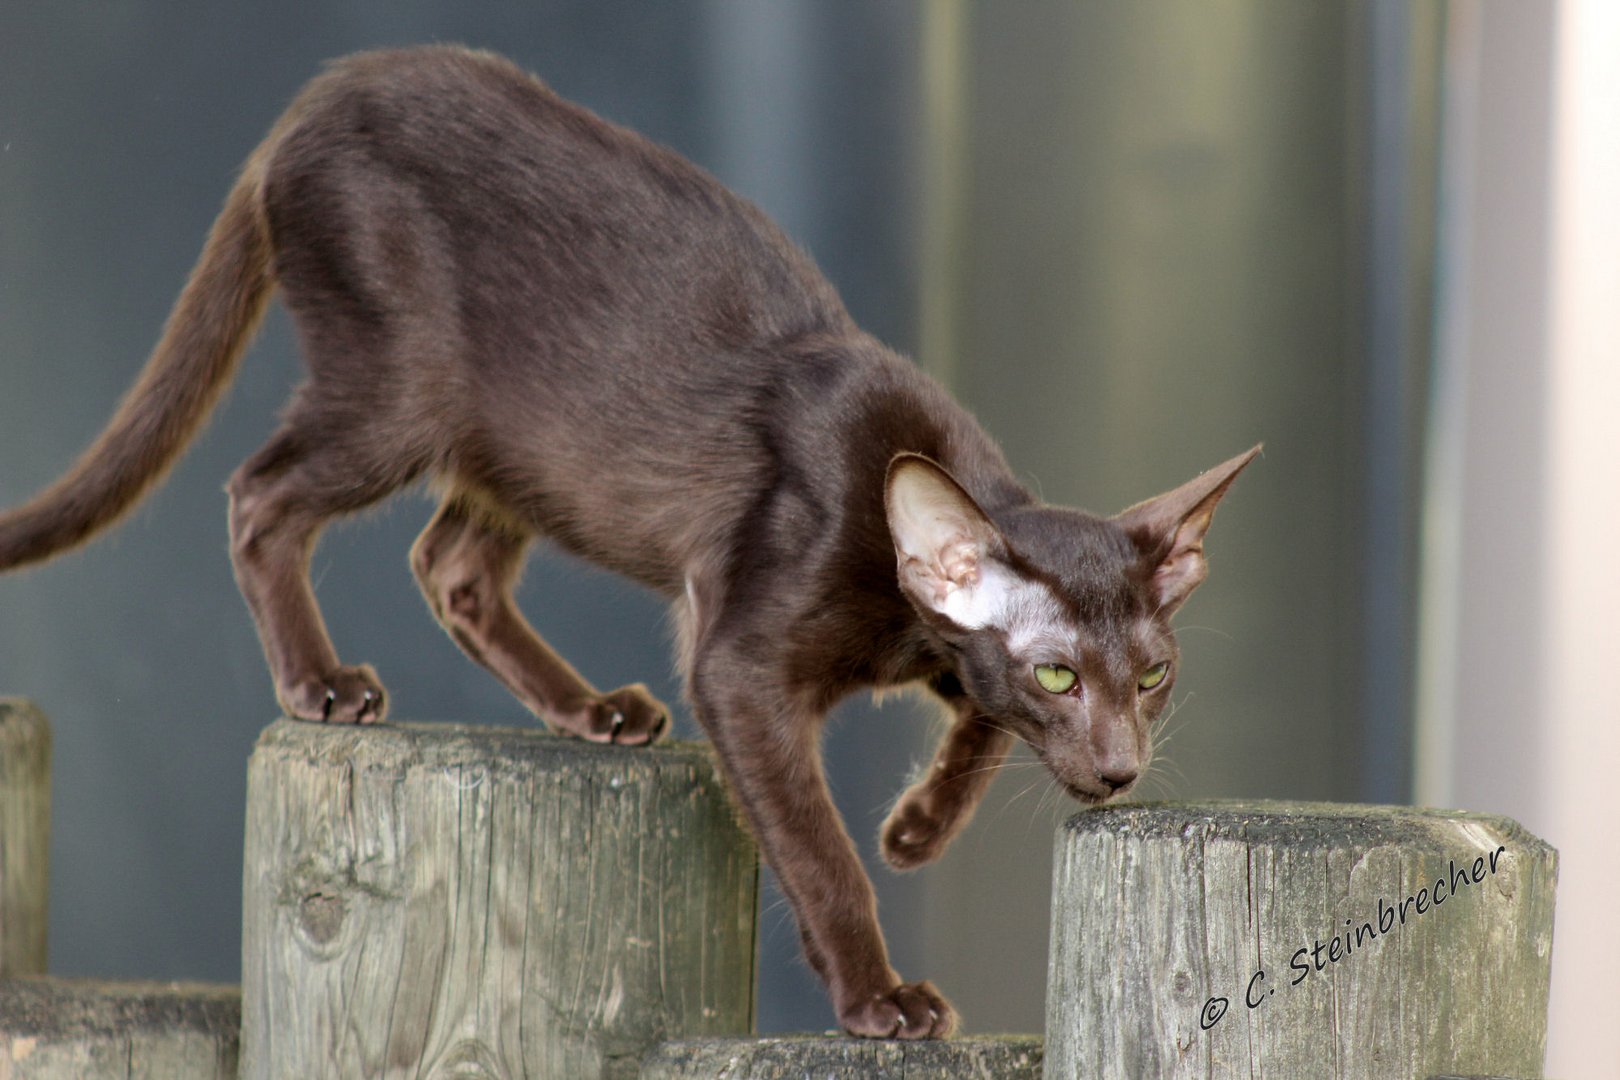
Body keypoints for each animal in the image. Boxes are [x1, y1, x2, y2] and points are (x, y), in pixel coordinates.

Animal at [0, 44, 1250, 1036]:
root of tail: (312, 100)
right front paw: (878, 997)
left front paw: (916, 827)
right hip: (399, 399)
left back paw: (590, 711)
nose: (1119, 770)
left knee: (447, 566)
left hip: (524, 453)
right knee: (258, 495)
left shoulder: (934, 652)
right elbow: (819, 852)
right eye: (1058, 673)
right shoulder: (739, 662)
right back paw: (322, 685)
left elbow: (978, 729)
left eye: (1152, 677)